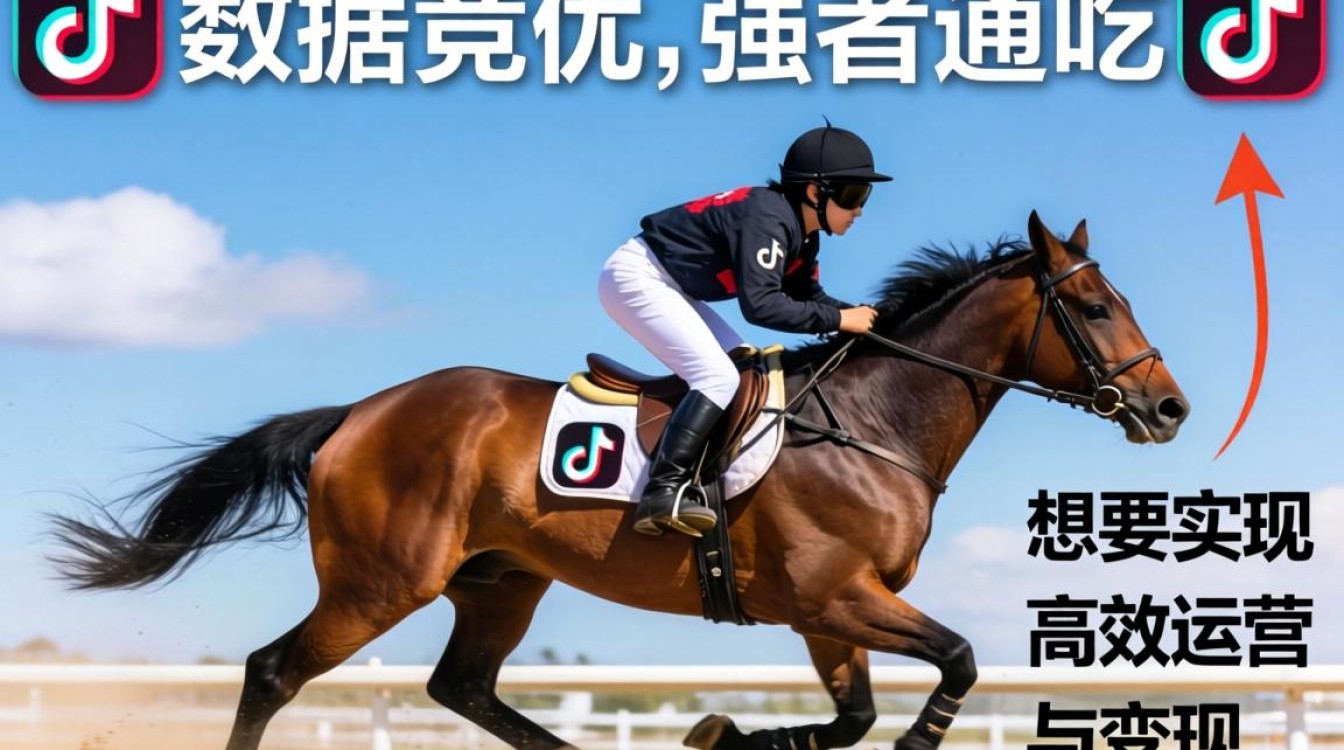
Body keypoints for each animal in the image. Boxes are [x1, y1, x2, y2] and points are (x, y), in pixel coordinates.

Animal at [52, 212, 1189, 750]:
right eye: (1093, 308)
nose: (1170, 408)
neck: (875, 426)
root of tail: (357, 415)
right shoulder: (835, 597)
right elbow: (954, 663)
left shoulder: (830, 613)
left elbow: (857, 716)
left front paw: (724, 732)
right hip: (382, 581)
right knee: (273, 673)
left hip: (500, 582)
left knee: (461, 688)